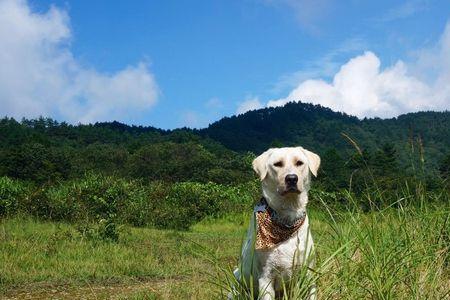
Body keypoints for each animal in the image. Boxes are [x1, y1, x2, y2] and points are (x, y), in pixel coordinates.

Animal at [232, 146, 320, 298]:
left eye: (299, 163)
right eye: (277, 164)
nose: (292, 178)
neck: (287, 220)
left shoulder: (308, 274)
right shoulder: (265, 277)